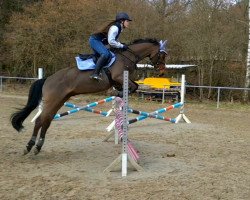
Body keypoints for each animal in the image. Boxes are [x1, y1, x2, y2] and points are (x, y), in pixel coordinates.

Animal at [10, 38, 168, 155]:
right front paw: (118, 93)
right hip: (52, 101)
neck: (126, 56)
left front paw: (118, 93)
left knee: (46, 121)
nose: (161, 72)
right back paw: (29, 146)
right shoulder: (118, 76)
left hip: (59, 101)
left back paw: (38, 146)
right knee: (39, 120)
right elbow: (133, 87)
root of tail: (47, 79)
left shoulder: (122, 79)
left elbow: (134, 86)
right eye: (161, 55)